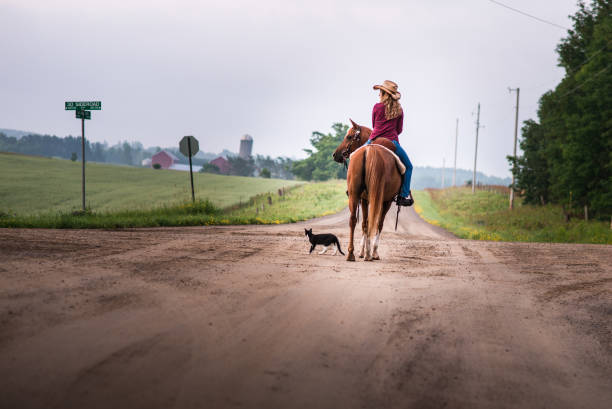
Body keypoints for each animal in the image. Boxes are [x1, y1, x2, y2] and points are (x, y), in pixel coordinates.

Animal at [332, 119, 404, 260]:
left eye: (349, 137)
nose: (336, 155)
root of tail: (370, 150)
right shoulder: (386, 201)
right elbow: (377, 224)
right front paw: (371, 251)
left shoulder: (364, 199)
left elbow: (365, 223)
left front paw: (363, 251)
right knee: (373, 222)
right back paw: (369, 253)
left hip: (355, 195)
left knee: (353, 220)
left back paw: (352, 253)